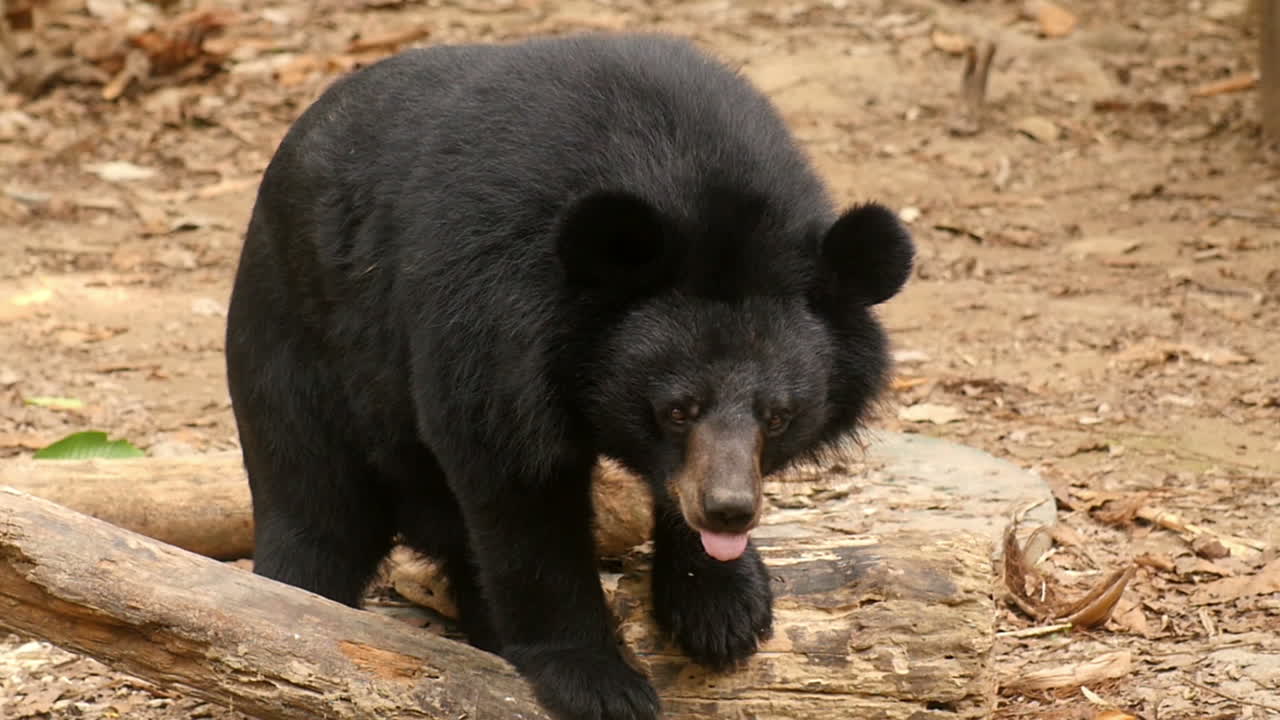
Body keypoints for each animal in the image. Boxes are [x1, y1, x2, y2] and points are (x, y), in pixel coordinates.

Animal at [225, 32, 913, 720]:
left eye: (779, 415)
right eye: (676, 409)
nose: (729, 513)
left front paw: (723, 610)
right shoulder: (491, 324)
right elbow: (520, 500)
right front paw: (600, 682)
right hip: (296, 347)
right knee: (315, 514)